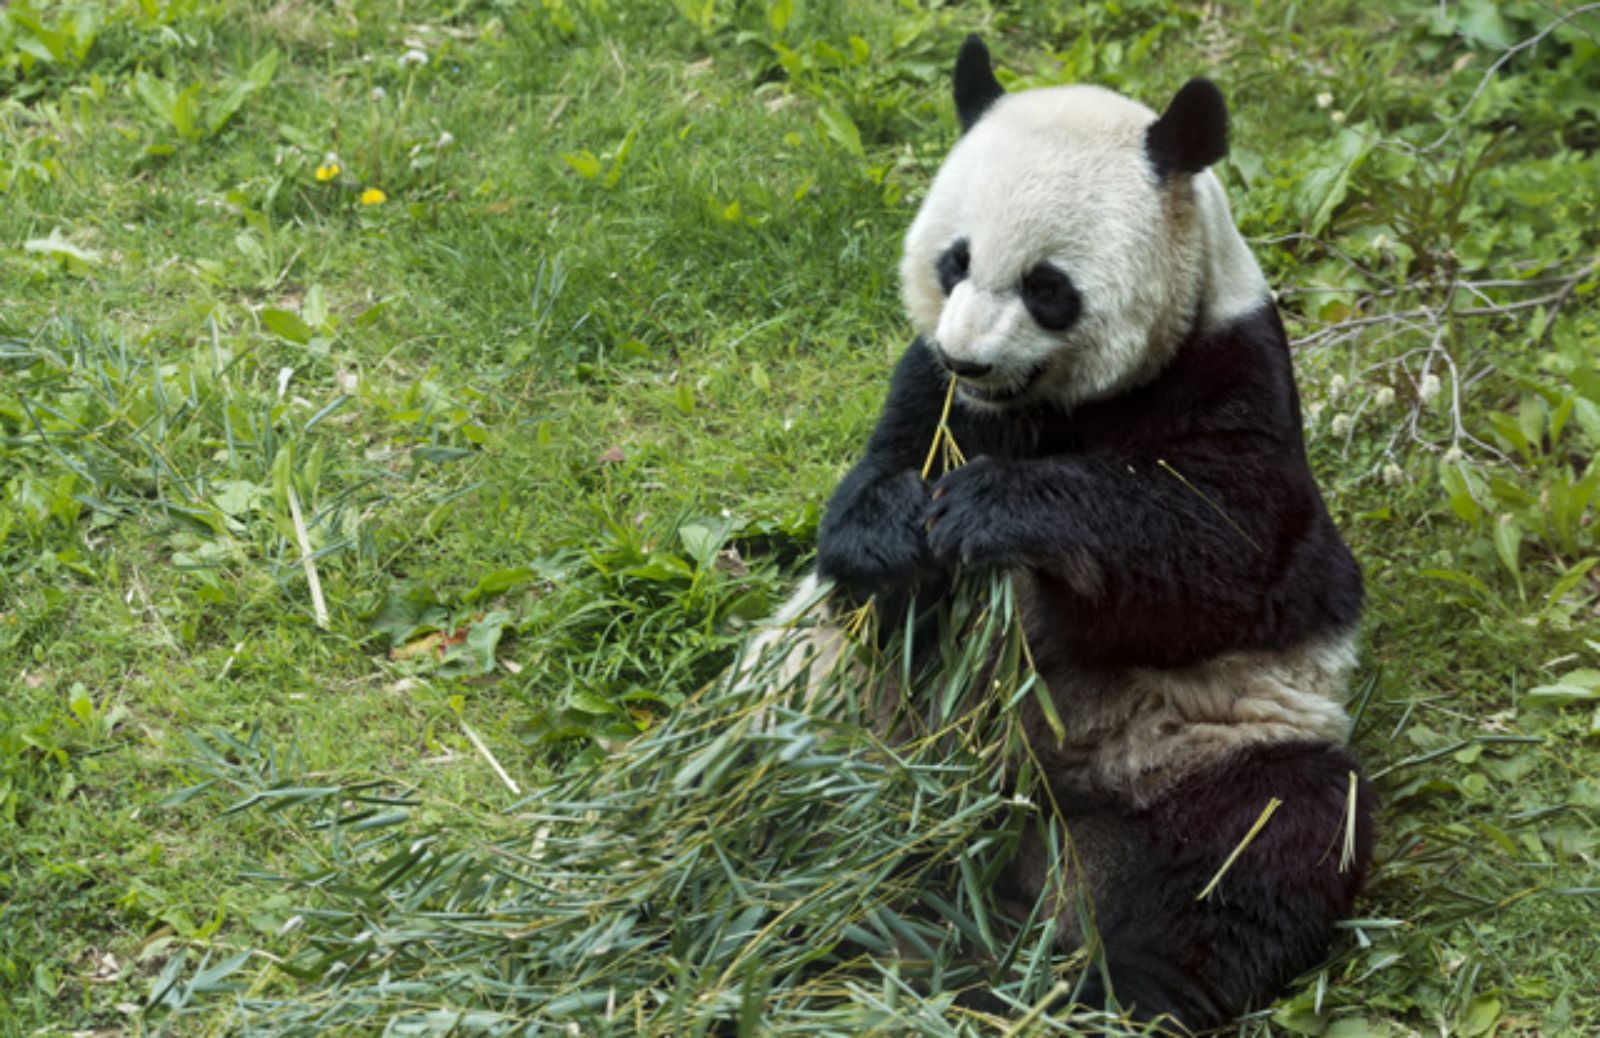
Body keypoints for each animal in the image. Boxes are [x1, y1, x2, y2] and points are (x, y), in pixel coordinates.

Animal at [761, 36, 1376, 1030]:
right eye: (954, 262)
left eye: (1047, 287)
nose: (970, 357)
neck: (1046, 408)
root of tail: (1032, 857)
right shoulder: (930, 392)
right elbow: (862, 507)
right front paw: (900, 536)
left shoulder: (1235, 377)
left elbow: (1220, 558)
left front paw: (994, 513)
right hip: (854, 714)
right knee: (803, 777)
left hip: (1217, 742)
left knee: (1261, 853)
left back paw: (1113, 989)